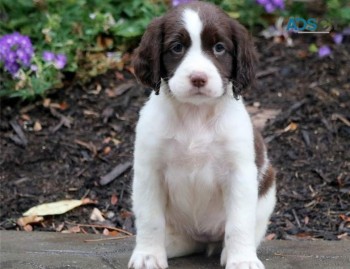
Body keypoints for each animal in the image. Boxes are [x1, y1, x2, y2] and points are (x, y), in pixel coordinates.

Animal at [129, 2, 276, 268]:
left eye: (219, 48)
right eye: (177, 47)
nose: (198, 78)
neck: (195, 115)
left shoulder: (239, 172)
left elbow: (240, 222)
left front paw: (242, 259)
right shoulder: (149, 170)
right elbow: (150, 218)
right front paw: (148, 255)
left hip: (267, 188)